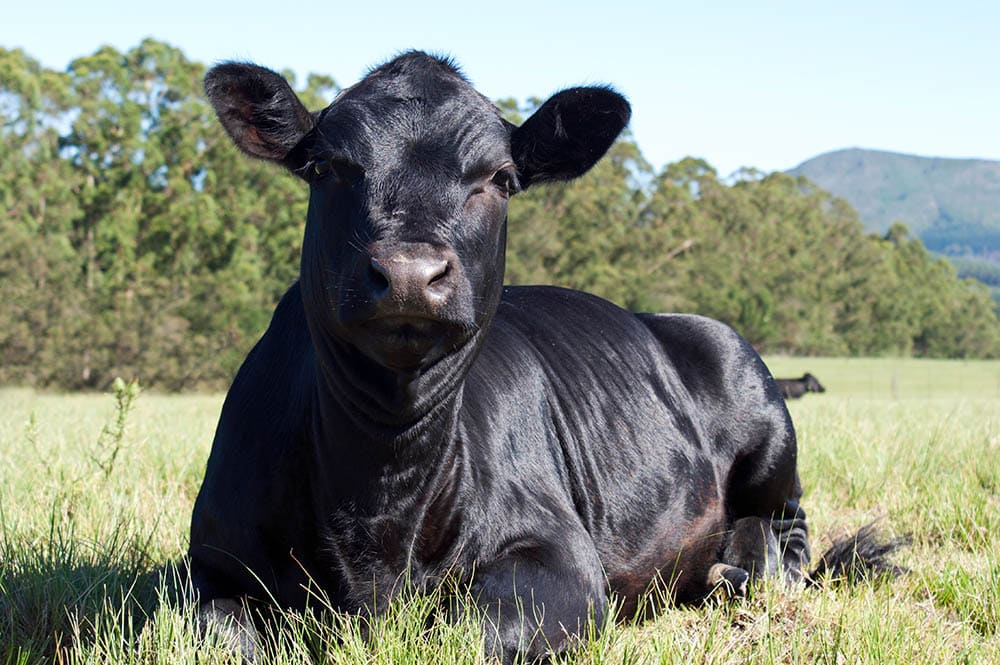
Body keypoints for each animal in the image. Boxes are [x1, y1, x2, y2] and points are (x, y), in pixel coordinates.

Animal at [188, 53, 900, 664]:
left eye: (500, 180)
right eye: (327, 168)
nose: (411, 273)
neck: (380, 499)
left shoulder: (561, 555)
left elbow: (467, 633)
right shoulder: (213, 563)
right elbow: (223, 632)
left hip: (766, 426)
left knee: (788, 533)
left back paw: (743, 565)